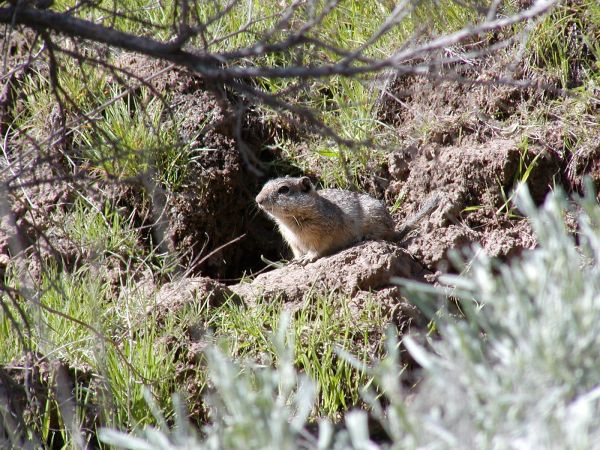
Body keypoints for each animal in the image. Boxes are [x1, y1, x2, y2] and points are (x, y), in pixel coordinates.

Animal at [255, 174, 438, 262]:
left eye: (284, 189)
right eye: (264, 185)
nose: (258, 200)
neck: (290, 221)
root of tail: (395, 230)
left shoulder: (321, 234)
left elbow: (317, 249)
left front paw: (308, 258)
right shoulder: (293, 242)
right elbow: (297, 253)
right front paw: (295, 261)